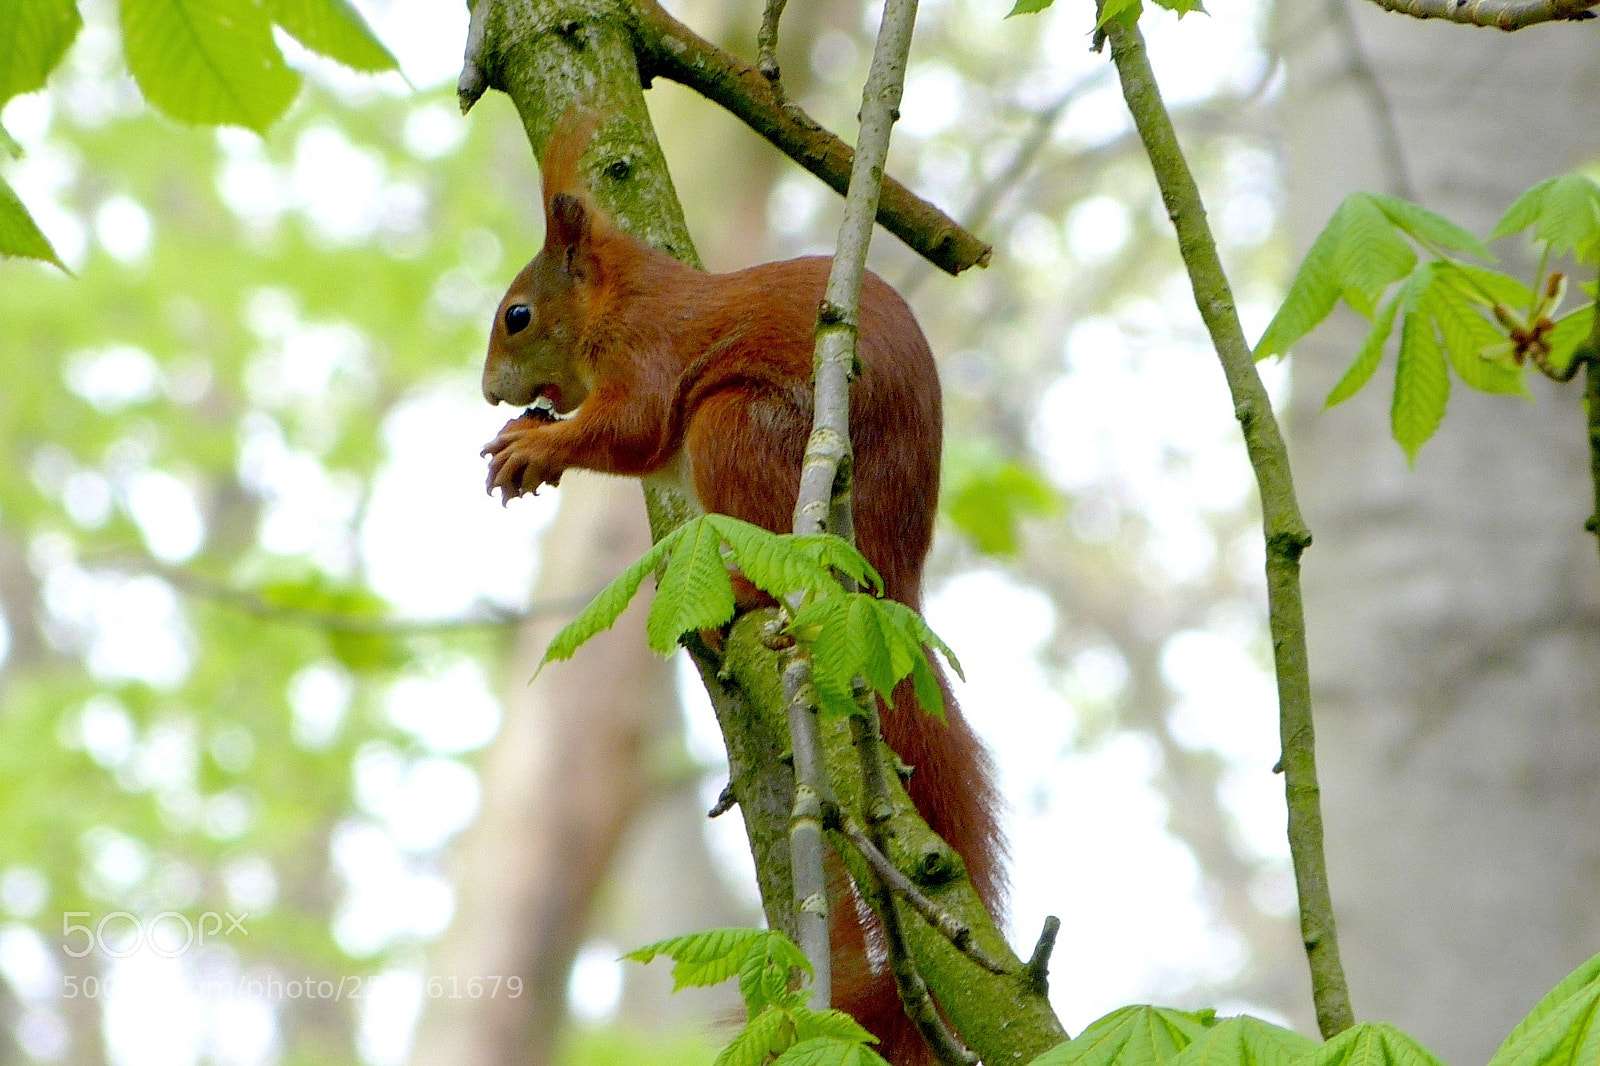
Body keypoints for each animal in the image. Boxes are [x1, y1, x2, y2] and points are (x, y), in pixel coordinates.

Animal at [480, 114, 1004, 1065]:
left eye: (519, 315)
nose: (489, 390)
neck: (625, 298)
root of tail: (889, 579)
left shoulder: (649, 351)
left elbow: (633, 426)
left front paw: (538, 446)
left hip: (741, 428)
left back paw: (740, 593)